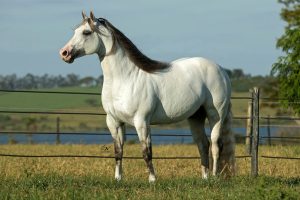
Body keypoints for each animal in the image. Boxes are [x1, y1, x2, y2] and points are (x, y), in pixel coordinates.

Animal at [59, 11, 236, 183]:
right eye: (75, 31)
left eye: (86, 32)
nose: (64, 53)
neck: (124, 79)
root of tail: (220, 69)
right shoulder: (114, 121)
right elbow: (118, 151)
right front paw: (118, 179)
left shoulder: (142, 122)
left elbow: (146, 152)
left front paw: (152, 180)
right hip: (196, 116)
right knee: (203, 144)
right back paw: (205, 178)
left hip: (215, 114)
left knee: (216, 144)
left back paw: (214, 177)